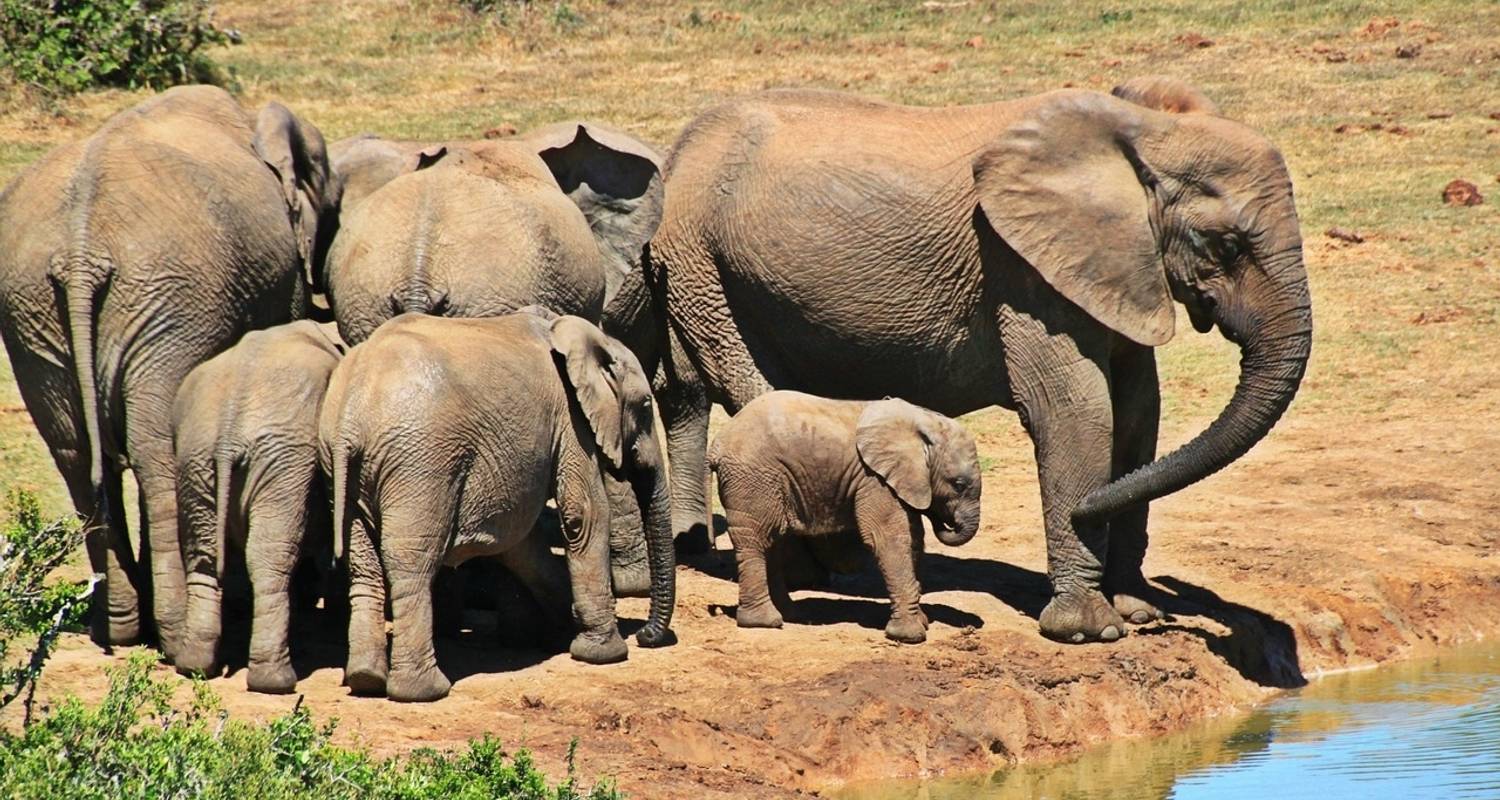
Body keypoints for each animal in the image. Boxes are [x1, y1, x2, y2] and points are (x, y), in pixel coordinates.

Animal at [0, 84, 337, 654]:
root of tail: (79, 253)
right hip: (168, 304)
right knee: (155, 453)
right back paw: (175, 636)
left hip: (35, 314)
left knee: (76, 456)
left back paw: (118, 627)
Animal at [171, 318, 343, 693]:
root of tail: (228, 434)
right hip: (284, 462)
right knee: (270, 559)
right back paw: (275, 681)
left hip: (194, 458)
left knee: (204, 556)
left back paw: (194, 666)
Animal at [321, 310, 675, 699]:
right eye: (646, 407)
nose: (646, 636)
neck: (585, 336)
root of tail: (350, 418)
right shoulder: (570, 419)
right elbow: (584, 515)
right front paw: (604, 654)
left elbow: (522, 544)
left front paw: (562, 632)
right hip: (420, 466)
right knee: (411, 564)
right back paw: (424, 691)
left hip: (345, 469)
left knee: (363, 566)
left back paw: (365, 679)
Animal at [705, 390, 978, 645]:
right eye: (958, 485)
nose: (944, 520)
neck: (925, 421)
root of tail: (716, 446)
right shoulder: (874, 479)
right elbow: (887, 539)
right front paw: (910, 636)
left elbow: (914, 539)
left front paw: (922, 621)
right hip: (752, 478)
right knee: (757, 540)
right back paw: (764, 622)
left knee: (773, 539)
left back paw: (790, 614)